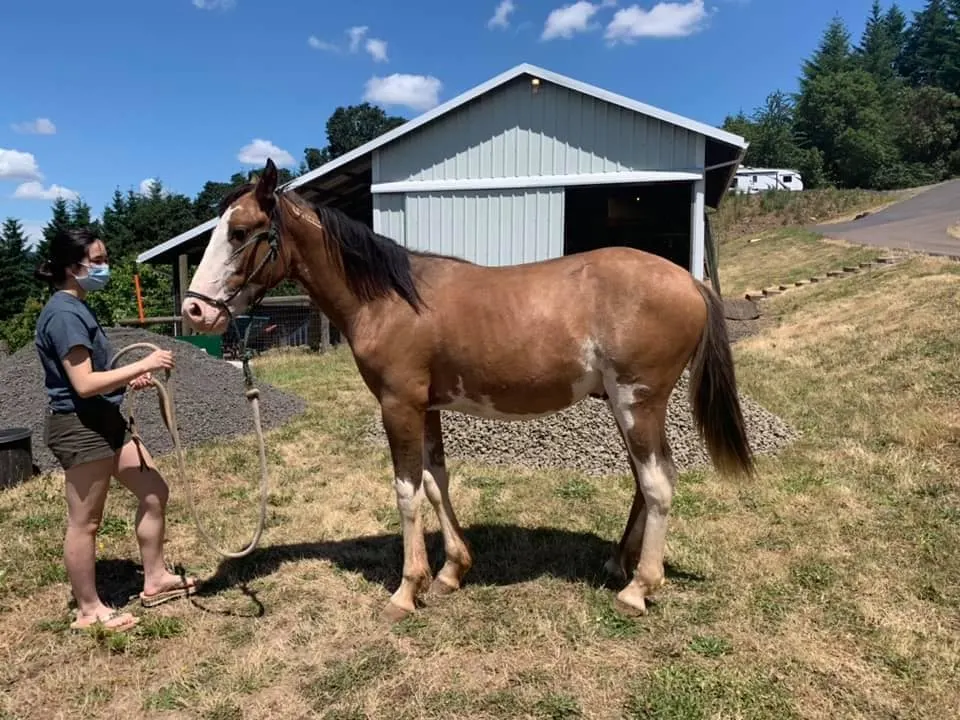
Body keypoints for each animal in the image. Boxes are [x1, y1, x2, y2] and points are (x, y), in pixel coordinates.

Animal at [178, 160, 752, 620]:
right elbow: (437, 482)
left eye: (241, 231)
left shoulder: (399, 406)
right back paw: (618, 563)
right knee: (644, 479)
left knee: (658, 484)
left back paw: (638, 589)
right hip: (624, 405)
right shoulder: (426, 407)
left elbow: (406, 492)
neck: (389, 300)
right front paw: (451, 572)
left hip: (639, 402)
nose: (195, 311)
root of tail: (688, 280)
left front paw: (406, 591)